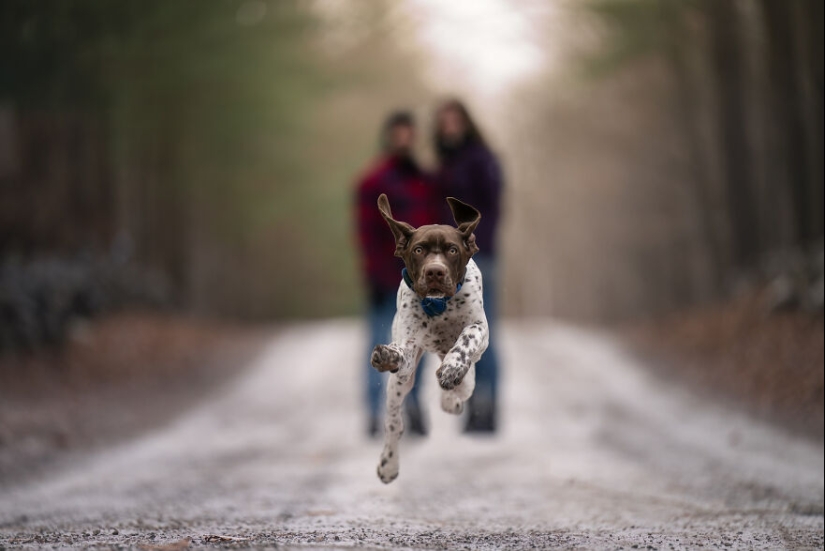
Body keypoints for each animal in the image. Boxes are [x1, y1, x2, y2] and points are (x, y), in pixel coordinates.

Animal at [372, 193, 490, 484]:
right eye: (418, 250)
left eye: (452, 250)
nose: (434, 272)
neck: (438, 305)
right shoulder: (408, 347)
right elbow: (400, 354)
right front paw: (388, 355)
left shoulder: (481, 329)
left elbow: (468, 336)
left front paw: (452, 368)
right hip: (399, 385)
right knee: (394, 423)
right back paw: (388, 464)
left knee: (463, 386)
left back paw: (451, 392)